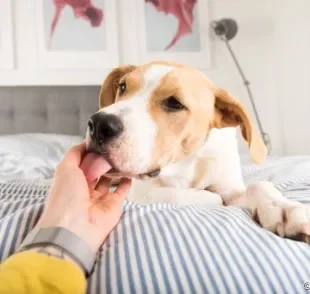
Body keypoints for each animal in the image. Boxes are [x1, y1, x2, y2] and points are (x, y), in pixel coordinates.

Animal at [85, 60, 310, 245]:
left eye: (175, 103)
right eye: (123, 87)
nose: (99, 124)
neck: (187, 162)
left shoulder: (229, 186)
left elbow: (260, 186)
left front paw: (284, 209)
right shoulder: (141, 192)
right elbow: (175, 194)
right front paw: (210, 198)